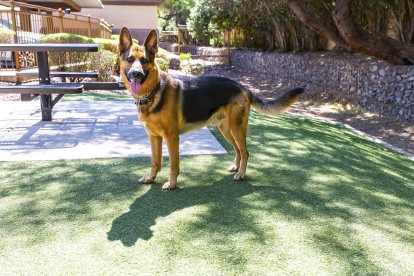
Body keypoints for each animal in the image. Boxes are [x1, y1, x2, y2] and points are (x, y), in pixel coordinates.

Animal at [119, 27, 304, 190]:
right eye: (130, 59)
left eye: (144, 60)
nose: (136, 74)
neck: (153, 92)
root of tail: (243, 87)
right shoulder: (154, 137)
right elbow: (155, 161)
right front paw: (151, 178)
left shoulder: (172, 138)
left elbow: (173, 164)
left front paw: (172, 184)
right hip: (226, 129)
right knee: (237, 149)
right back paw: (236, 168)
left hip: (236, 128)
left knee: (245, 152)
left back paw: (241, 174)